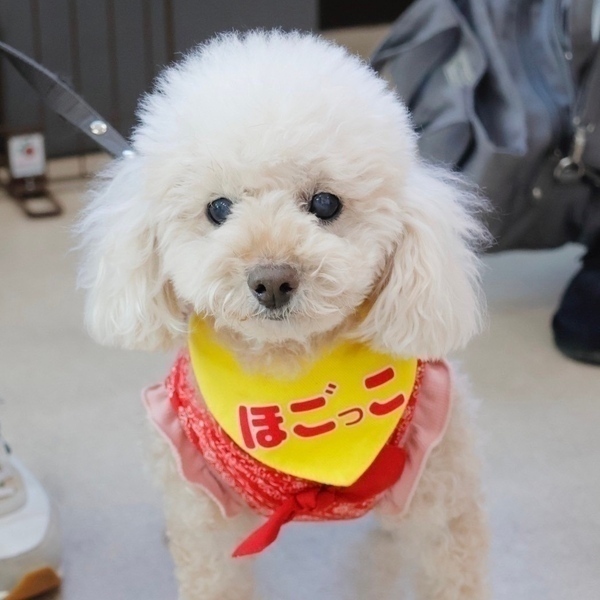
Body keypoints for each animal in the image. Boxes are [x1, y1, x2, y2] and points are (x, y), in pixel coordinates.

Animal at [78, 30, 490, 599]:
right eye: (218, 208)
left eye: (325, 203)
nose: (271, 280)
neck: (287, 367)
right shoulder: (204, 523)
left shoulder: (444, 504)